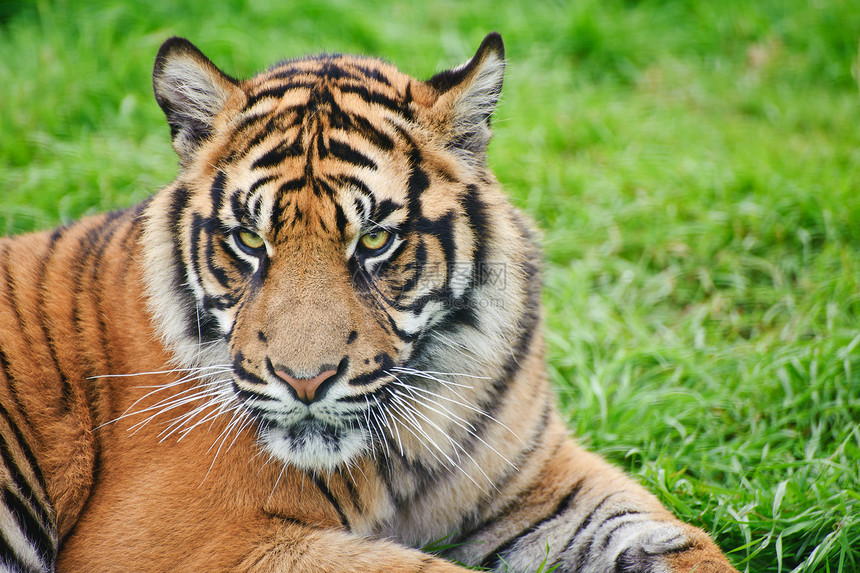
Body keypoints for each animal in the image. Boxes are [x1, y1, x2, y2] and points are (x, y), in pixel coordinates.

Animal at [0, 33, 740, 568]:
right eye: (249, 239)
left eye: (376, 238)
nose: (303, 382)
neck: (414, 434)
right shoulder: (185, 535)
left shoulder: (538, 477)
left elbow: (677, 537)